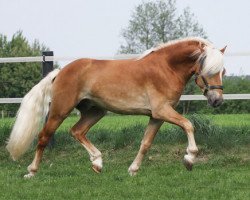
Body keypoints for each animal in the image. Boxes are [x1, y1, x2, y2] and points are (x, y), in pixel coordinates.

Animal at [6, 36, 227, 177]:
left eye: (222, 71)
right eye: (208, 70)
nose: (217, 100)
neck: (166, 68)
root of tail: (60, 72)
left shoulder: (156, 116)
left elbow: (145, 143)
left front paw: (133, 170)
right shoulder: (162, 111)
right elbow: (189, 125)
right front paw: (189, 158)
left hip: (95, 111)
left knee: (77, 131)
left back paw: (97, 163)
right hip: (60, 110)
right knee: (44, 136)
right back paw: (31, 171)